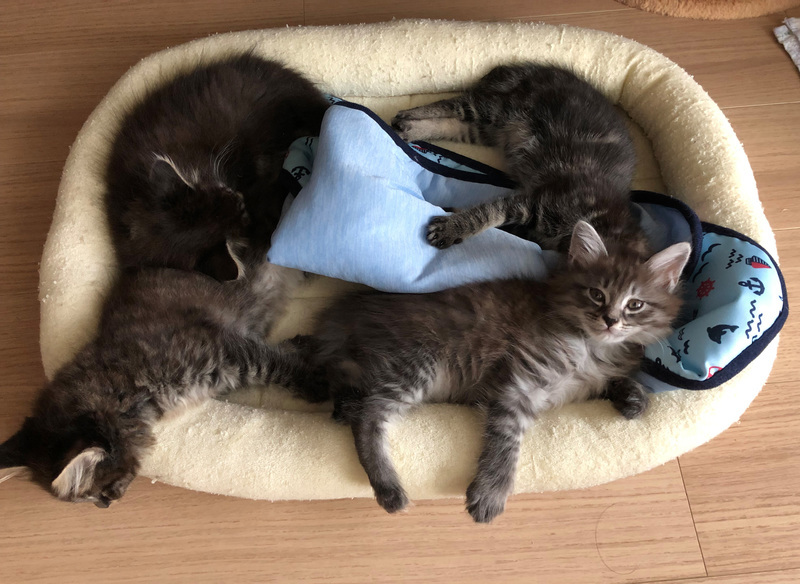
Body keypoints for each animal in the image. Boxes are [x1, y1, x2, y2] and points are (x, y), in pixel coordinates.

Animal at [0, 261, 327, 507]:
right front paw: (305, 349)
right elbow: (279, 354)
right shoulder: (230, 364)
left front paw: (319, 383)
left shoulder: (227, 350)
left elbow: (276, 365)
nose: (106, 504)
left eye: (94, 491)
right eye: (90, 499)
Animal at [299, 221, 690, 523]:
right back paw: (388, 487)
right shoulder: (519, 382)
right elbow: (506, 441)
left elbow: (616, 382)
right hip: (416, 363)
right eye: (596, 294)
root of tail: (347, 311)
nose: (610, 320)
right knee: (368, 417)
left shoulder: (583, 382)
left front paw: (634, 398)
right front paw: (490, 493)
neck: (591, 346)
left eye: (635, 304)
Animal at [391, 63, 648, 257]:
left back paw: (412, 129)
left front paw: (451, 215)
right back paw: (408, 116)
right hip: (500, 107)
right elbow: (485, 214)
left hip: (490, 129)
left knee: (452, 124)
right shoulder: (535, 200)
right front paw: (452, 228)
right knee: (450, 104)